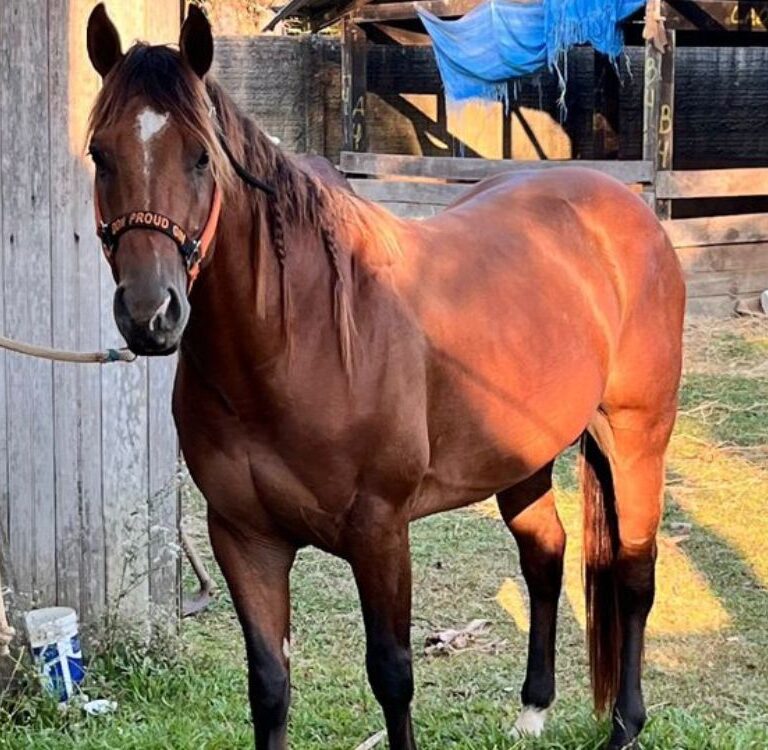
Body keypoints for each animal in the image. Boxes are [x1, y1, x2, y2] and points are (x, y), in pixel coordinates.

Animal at [86, 5, 685, 749]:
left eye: (201, 157)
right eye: (100, 155)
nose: (151, 313)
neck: (291, 348)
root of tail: (624, 207)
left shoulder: (380, 533)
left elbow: (393, 676)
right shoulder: (244, 539)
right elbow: (270, 686)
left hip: (638, 440)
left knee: (633, 574)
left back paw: (626, 724)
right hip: (523, 457)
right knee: (545, 558)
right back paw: (533, 710)